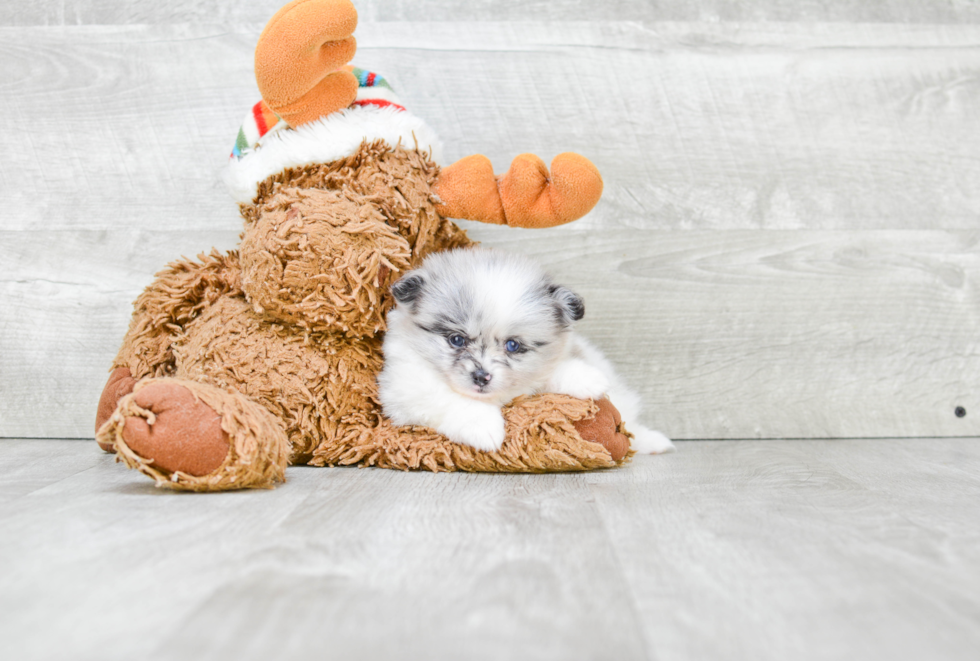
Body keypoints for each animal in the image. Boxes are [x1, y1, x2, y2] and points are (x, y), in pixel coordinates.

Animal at [376, 246, 672, 454]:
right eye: (457, 340)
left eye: (513, 345)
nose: (482, 377)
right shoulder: (405, 386)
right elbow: (450, 398)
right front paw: (484, 427)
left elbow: (551, 371)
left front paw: (587, 378)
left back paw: (654, 441)